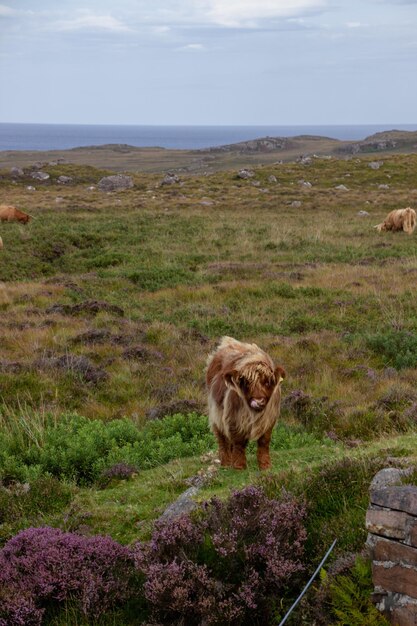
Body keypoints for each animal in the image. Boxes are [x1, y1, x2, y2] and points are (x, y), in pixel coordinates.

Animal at [206, 336, 286, 468]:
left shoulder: (270, 418)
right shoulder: (234, 418)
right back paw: (226, 463)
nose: (258, 401)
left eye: (267, 382)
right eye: (246, 383)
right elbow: (239, 442)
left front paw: (265, 465)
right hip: (216, 412)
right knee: (222, 438)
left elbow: (264, 441)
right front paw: (239, 466)